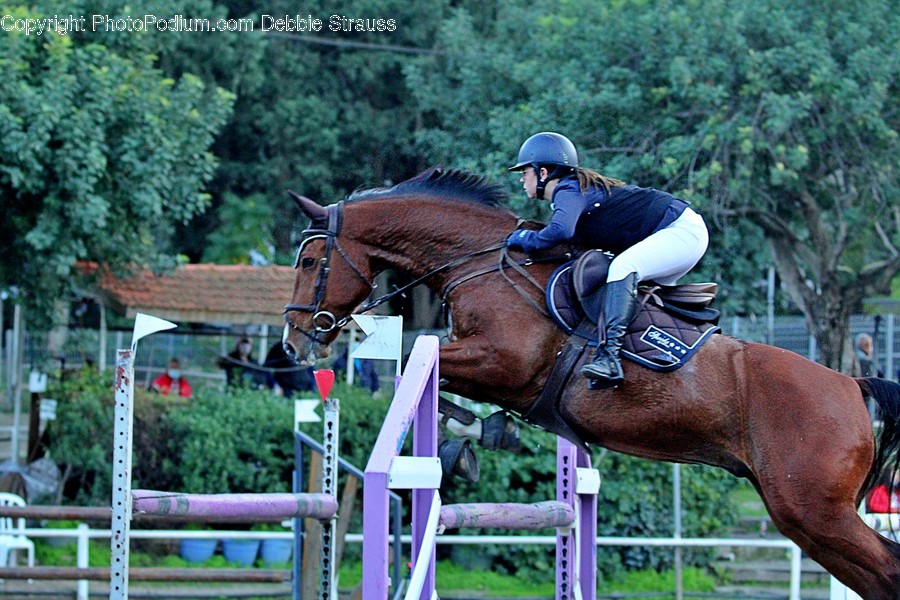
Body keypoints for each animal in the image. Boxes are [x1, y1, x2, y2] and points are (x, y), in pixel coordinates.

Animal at [282, 167, 900, 598]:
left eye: (310, 262)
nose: (293, 342)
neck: (477, 262)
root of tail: (852, 387)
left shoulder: (502, 362)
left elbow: (412, 353)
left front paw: (472, 438)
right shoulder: (494, 370)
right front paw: (485, 434)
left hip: (812, 510)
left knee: (887, 570)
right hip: (808, 517)